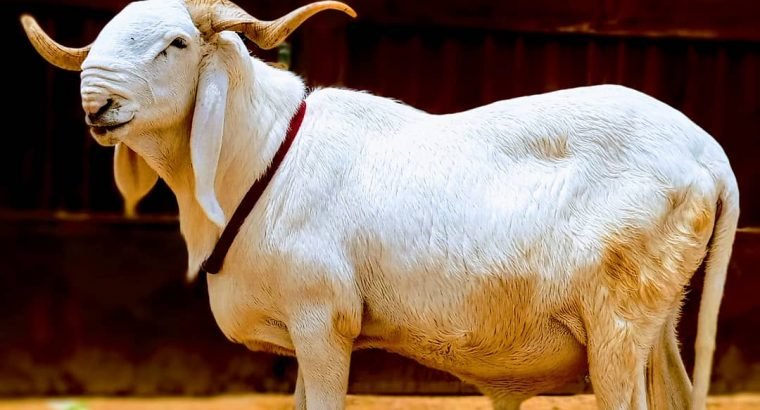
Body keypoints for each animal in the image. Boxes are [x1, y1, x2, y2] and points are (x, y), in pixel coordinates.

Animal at [21, 0, 739, 409]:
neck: (264, 157)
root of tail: (710, 156)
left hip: (616, 328)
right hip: (657, 319)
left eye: (175, 44)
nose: (97, 105)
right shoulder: (301, 333)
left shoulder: (322, 323)